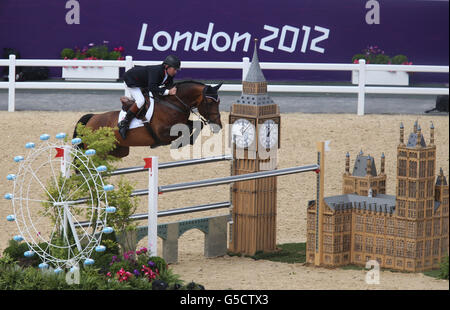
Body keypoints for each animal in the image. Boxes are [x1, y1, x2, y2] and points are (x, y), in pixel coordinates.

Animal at [72, 81, 225, 159]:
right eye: (209, 103)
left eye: (219, 102)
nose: (218, 125)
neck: (173, 103)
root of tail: (92, 118)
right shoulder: (163, 133)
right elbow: (187, 129)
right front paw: (179, 144)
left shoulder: (182, 122)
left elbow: (196, 125)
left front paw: (187, 142)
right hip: (96, 150)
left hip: (119, 150)